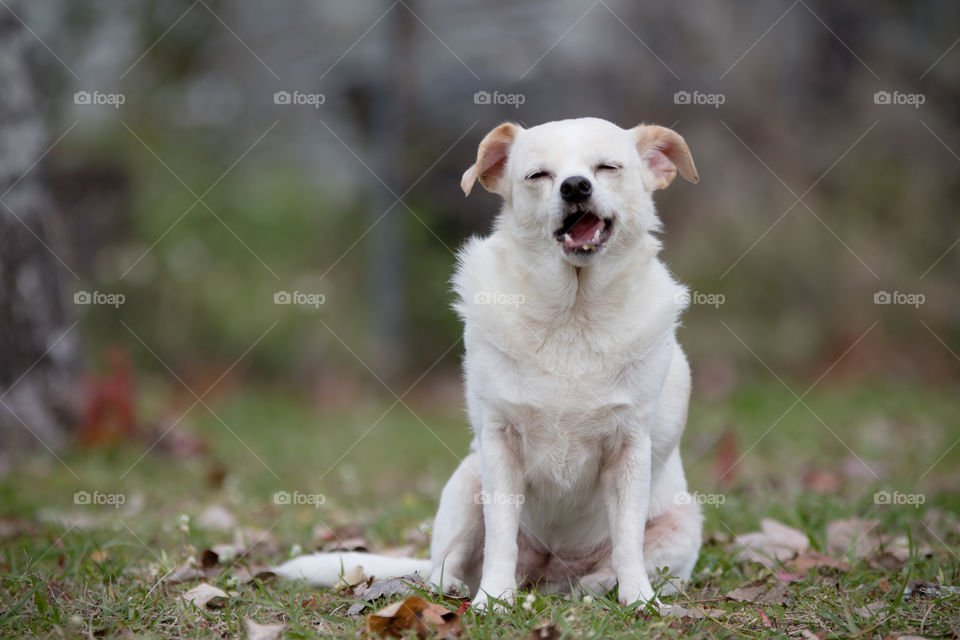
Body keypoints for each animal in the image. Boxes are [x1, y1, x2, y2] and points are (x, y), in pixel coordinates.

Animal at [274, 116, 700, 608]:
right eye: (538, 175)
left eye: (607, 168)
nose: (575, 186)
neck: (572, 314)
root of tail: (550, 573)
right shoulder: (500, 449)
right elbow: (500, 537)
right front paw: (494, 599)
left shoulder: (629, 449)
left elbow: (628, 540)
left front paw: (640, 601)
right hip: (467, 482)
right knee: (444, 565)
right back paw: (458, 587)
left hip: (685, 523)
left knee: (613, 564)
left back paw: (598, 587)